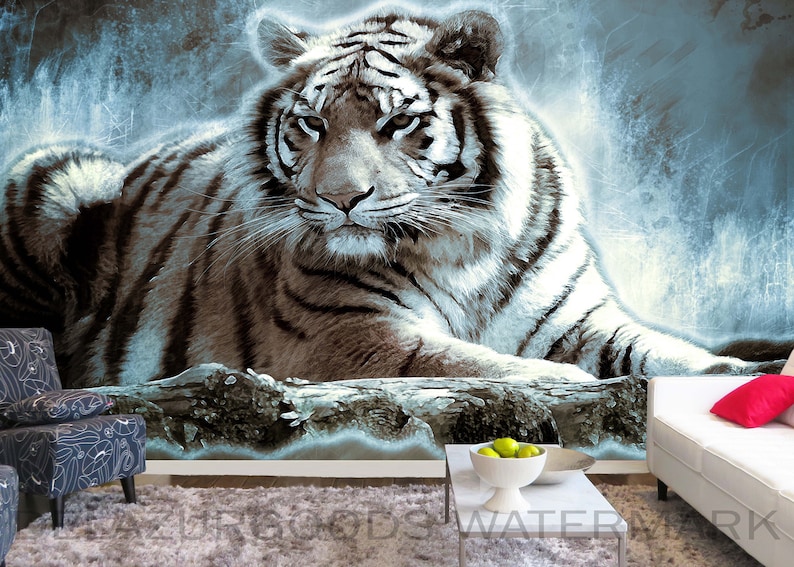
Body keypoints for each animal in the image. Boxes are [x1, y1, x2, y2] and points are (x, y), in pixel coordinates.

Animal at [0, 8, 784, 389]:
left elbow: (661, 351)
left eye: (397, 122)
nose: (340, 198)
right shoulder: (351, 334)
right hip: (59, 173)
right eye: (313, 124)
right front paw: (565, 386)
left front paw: (743, 371)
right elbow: (475, 365)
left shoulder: (577, 319)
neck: (464, 249)